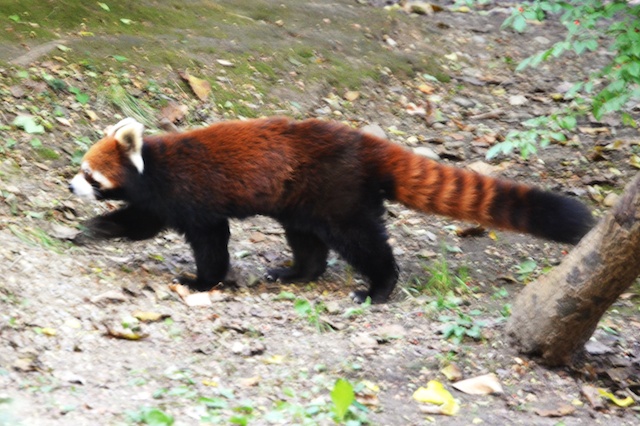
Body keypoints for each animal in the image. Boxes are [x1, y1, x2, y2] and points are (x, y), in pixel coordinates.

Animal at [70, 116, 596, 302]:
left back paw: (379, 288)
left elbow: (210, 242)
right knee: (308, 241)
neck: (154, 164)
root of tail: (364, 144)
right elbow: (139, 222)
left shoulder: (191, 196)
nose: (70, 184)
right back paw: (297, 273)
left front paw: (202, 281)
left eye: (90, 174)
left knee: (362, 242)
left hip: (337, 195)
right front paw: (91, 230)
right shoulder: (157, 200)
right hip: (300, 200)